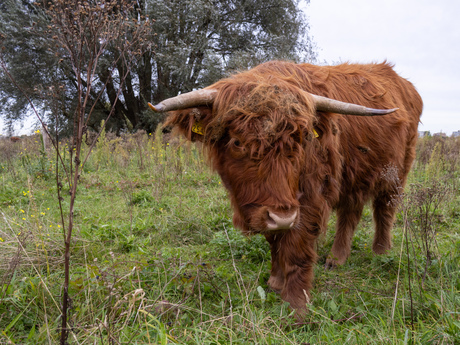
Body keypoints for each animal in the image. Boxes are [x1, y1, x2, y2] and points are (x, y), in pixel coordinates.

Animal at [149, 60, 422, 310]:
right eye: (237, 142)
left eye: (300, 140)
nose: (283, 217)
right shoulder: (268, 207)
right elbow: (275, 237)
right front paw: (275, 281)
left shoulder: (309, 198)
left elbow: (296, 244)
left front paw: (294, 299)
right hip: (354, 176)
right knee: (350, 213)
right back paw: (336, 258)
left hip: (396, 173)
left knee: (384, 210)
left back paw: (381, 252)